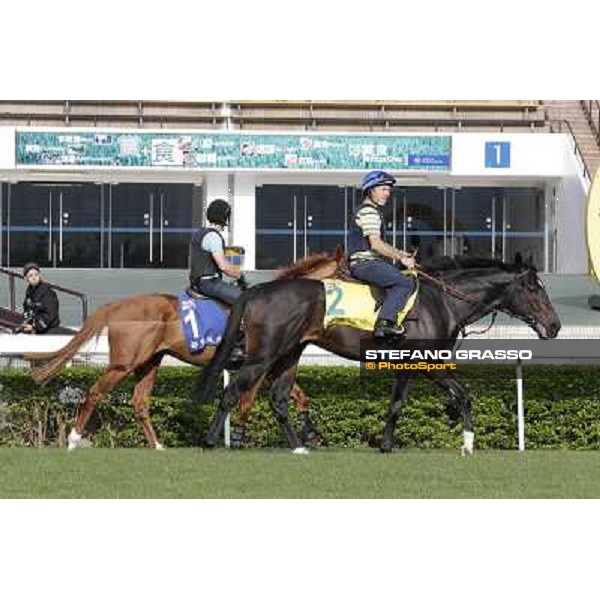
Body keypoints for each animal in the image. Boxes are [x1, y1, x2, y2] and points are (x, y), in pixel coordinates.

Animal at [195, 254, 560, 454]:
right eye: (533, 288)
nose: (554, 326)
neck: (442, 301)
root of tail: (257, 290)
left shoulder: (424, 363)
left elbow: (452, 396)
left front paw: (466, 443)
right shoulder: (420, 361)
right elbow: (411, 401)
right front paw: (390, 445)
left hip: (290, 353)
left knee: (279, 398)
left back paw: (297, 445)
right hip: (263, 355)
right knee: (232, 392)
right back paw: (211, 441)